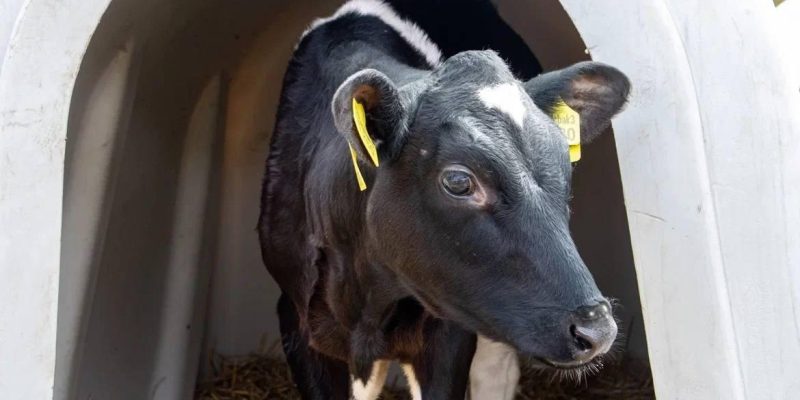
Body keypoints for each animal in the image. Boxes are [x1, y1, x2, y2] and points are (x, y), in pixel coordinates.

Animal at [257, 1, 631, 399]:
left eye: (565, 164)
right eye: (458, 181)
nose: (597, 330)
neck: (369, 299)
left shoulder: (448, 336)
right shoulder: (296, 321)